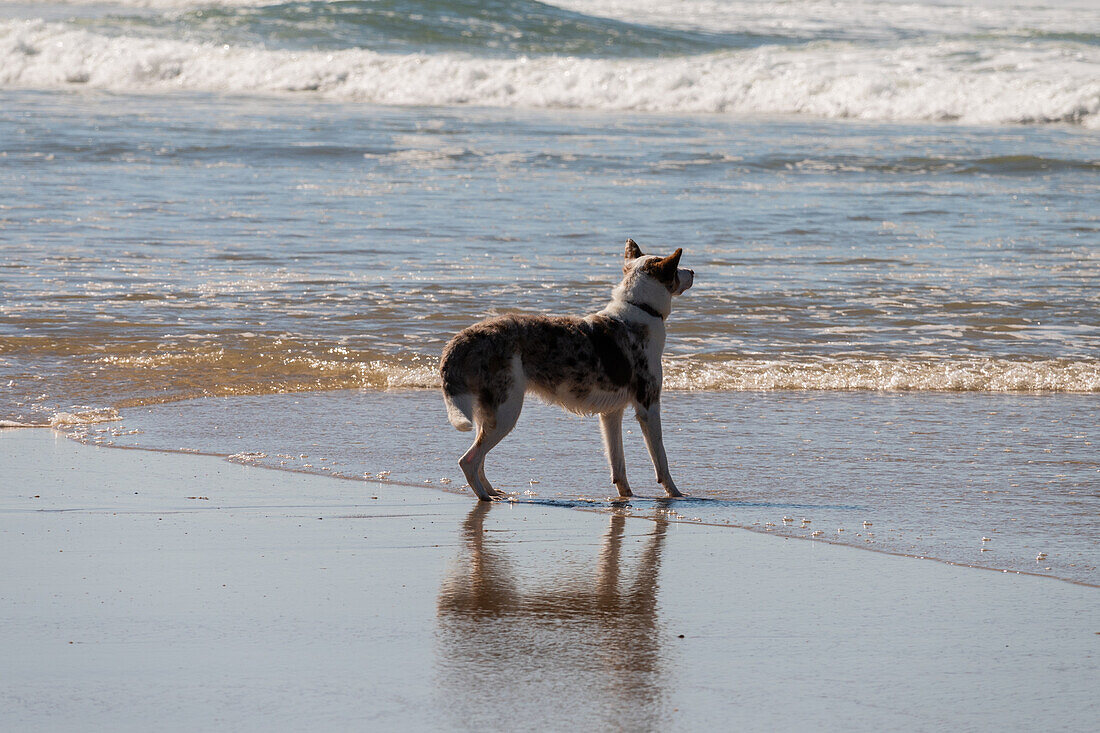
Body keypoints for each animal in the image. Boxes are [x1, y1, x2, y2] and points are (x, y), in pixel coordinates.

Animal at [437, 236, 695, 499]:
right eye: (676, 269)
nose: (693, 271)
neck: (640, 308)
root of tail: (465, 336)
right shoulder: (648, 406)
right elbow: (661, 459)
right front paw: (675, 494)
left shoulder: (611, 413)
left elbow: (618, 463)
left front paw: (626, 496)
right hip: (505, 413)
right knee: (468, 460)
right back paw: (484, 496)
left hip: (490, 414)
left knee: (479, 459)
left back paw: (492, 491)